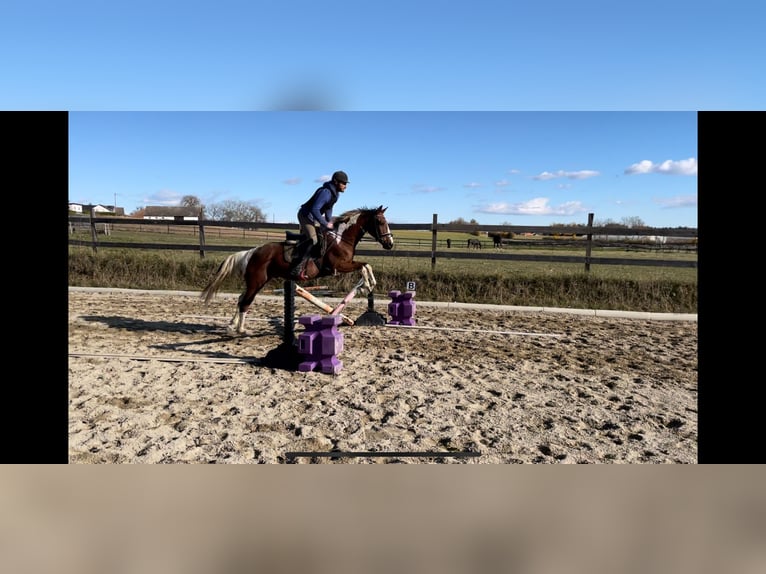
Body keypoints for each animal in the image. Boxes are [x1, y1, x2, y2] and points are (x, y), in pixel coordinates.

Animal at [200, 205, 394, 334]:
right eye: (380, 221)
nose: (390, 244)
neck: (341, 238)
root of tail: (253, 251)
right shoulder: (339, 265)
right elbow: (364, 266)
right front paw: (368, 285)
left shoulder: (347, 263)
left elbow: (366, 264)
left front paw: (369, 284)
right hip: (256, 282)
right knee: (245, 302)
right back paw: (241, 329)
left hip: (257, 282)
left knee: (241, 298)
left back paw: (232, 324)